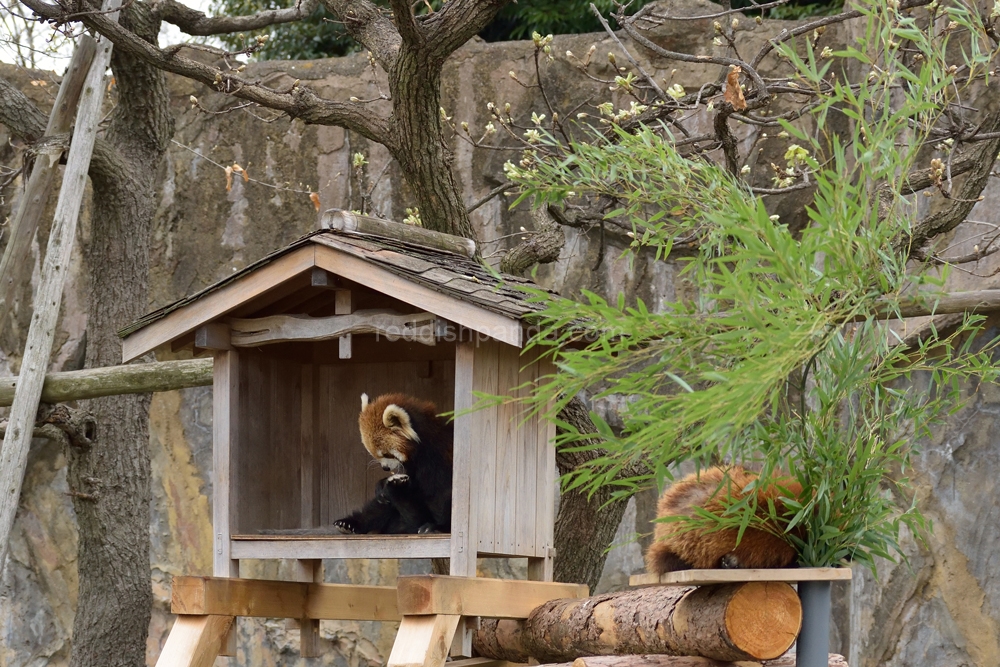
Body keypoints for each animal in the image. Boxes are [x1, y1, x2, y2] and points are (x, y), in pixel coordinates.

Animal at [336, 394, 454, 536]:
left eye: (387, 454)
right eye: (374, 454)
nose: (385, 468)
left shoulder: (438, 457)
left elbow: (442, 494)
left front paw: (439, 526)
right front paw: (383, 484)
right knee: (379, 507)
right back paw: (350, 524)